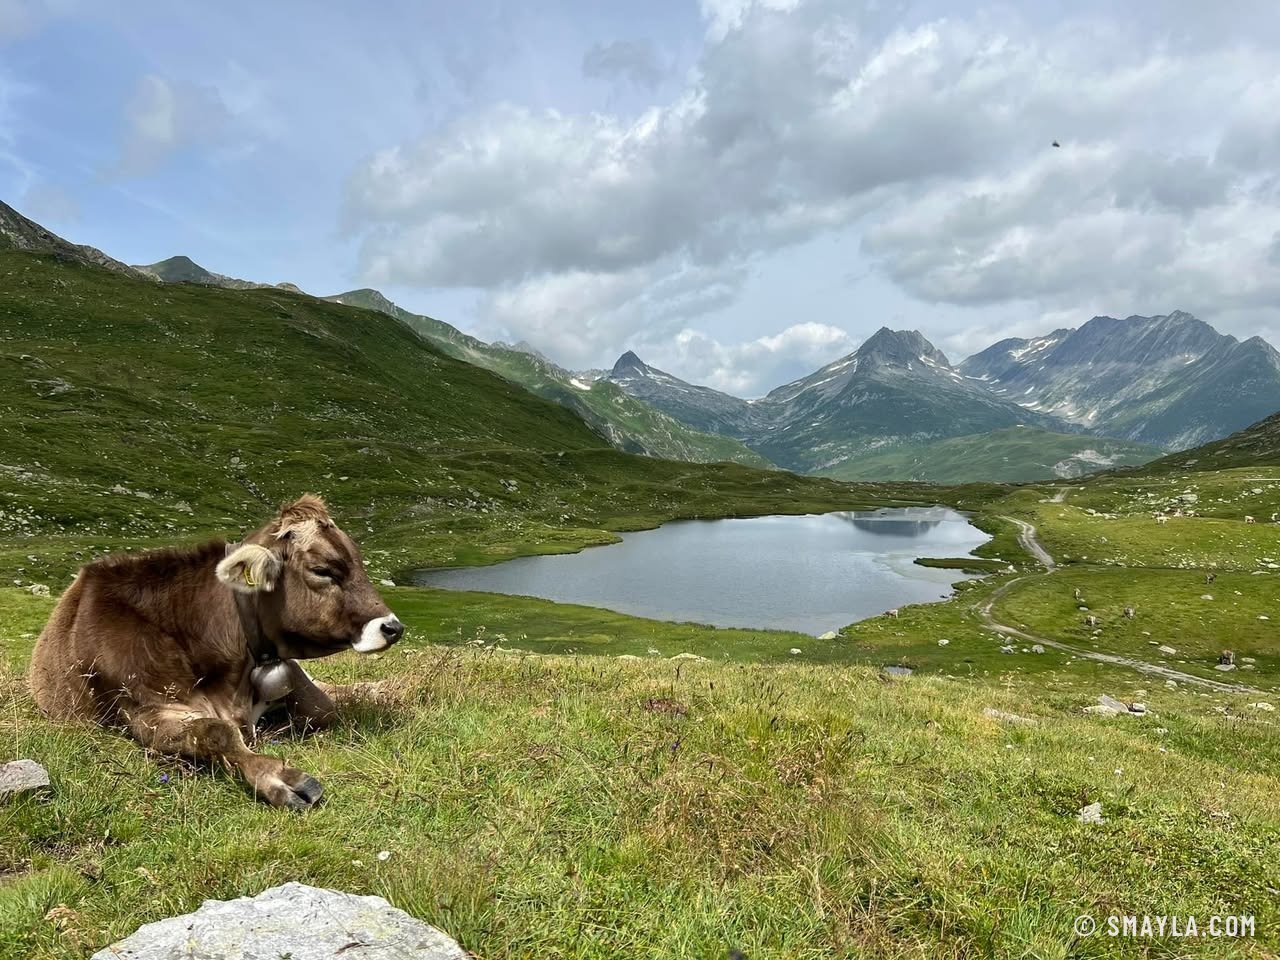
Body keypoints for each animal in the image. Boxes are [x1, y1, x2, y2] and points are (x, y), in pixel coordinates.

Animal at [29, 495, 404, 810]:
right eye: (323, 570)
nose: (393, 627)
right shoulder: (144, 710)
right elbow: (217, 731)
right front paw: (278, 777)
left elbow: (323, 706)